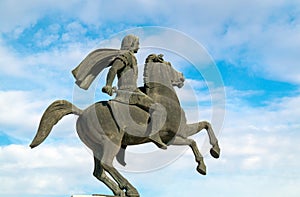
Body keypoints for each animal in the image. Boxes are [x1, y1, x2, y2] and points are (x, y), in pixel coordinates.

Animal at [29, 54, 219, 197]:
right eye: (170, 65)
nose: (182, 78)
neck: (165, 98)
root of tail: (82, 112)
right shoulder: (173, 137)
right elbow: (195, 139)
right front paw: (205, 163)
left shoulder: (178, 134)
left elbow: (205, 125)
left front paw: (213, 152)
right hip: (111, 142)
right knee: (107, 164)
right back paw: (130, 189)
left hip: (96, 148)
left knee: (99, 172)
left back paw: (119, 191)